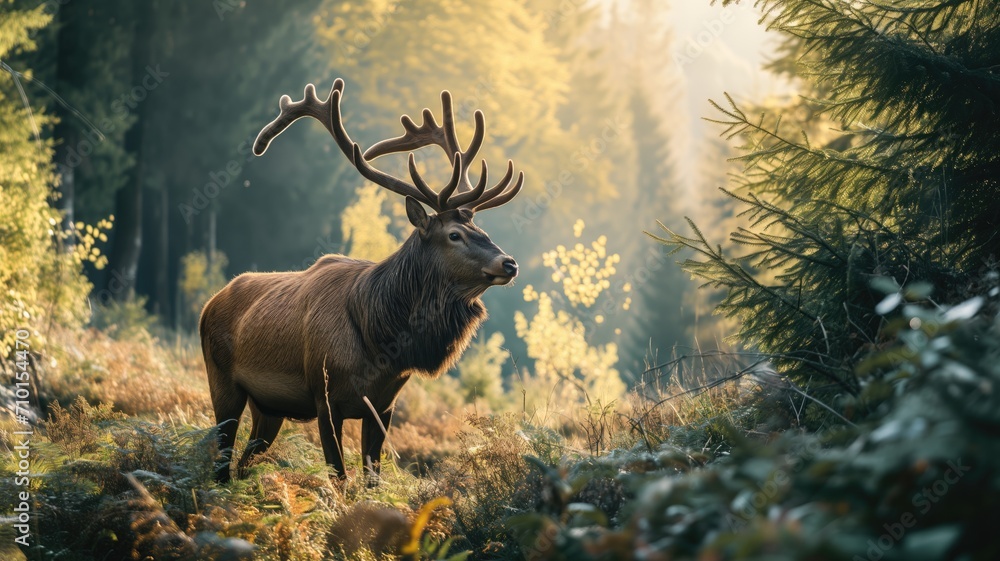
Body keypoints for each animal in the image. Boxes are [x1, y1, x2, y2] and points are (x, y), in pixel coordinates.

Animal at [200, 78, 523, 485]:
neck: (380, 342)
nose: (509, 263)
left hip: (268, 408)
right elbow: (338, 476)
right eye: (454, 235)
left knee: (244, 463)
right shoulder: (325, 397)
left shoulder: (383, 405)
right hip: (222, 382)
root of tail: (209, 304)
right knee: (222, 464)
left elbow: (372, 479)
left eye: (481, 230)